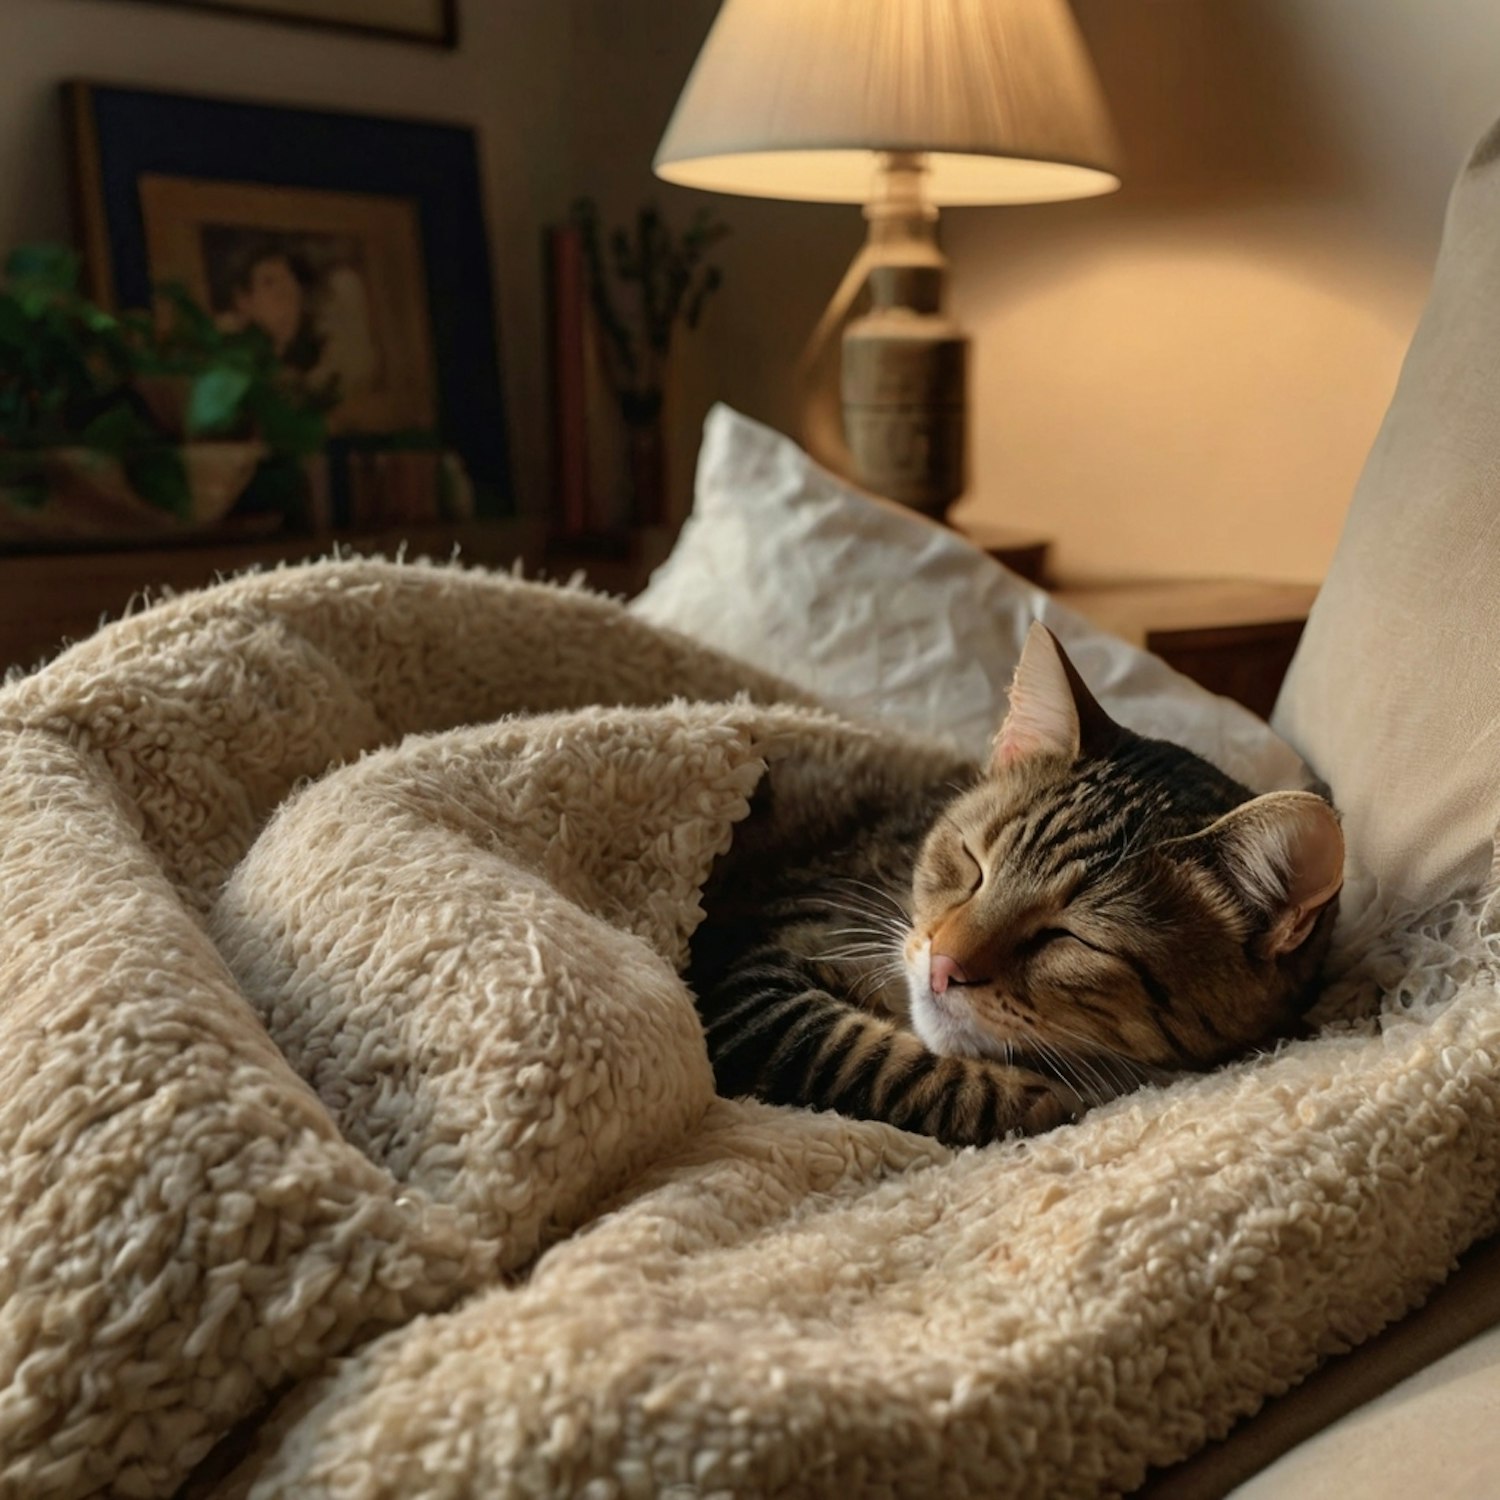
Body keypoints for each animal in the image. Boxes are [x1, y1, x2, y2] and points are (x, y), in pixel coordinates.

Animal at [687, 621, 1344, 1146]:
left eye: (1069, 939)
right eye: (972, 864)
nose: (942, 966)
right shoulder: (758, 967)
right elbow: (879, 1060)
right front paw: (1047, 1098)